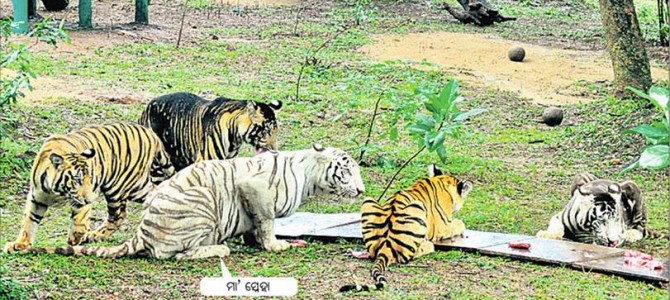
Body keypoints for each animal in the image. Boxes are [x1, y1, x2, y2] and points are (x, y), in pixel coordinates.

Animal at [3, 122, 176, 253]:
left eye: (90, 178)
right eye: (77, 179)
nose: (91, 197)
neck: (55, 190)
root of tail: (151, 134)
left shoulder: (82, 201)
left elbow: (79, 220)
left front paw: (75, 238)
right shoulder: (37, 198)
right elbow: (29, 221)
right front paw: (20, 244)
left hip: (119, 186)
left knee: (118, 215)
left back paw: (93, 235)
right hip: (134, 187)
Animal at [30, 144, 368, 258]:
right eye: (348, 169)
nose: (361, 190)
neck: (310, 174)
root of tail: (141, 233)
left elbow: (254, 225)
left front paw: (256, 243)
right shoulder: (254, 186)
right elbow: (267, 221)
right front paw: (274, 246)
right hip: (202, 203)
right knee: (172, 254)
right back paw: (219, 248)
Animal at [139, 91, 280, 171]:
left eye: (276, 132)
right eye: (267, 132)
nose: (274, 150)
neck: (235, 137)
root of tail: (146, 108)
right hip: (158, 163)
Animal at [342, 164, 478, 292]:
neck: (441, 182)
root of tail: (385, 246)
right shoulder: (443, 227)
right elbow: (460, 223)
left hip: (368, 201)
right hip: (418, 208)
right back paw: (428, 245)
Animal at [536, 172, 668, 247]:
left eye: (617, 220)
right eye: (602, 221)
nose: (614, 242)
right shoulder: (558, 216)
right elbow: (557, 227)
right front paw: (547, 234)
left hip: (632, 187)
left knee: (639, 228)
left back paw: (629, 235)